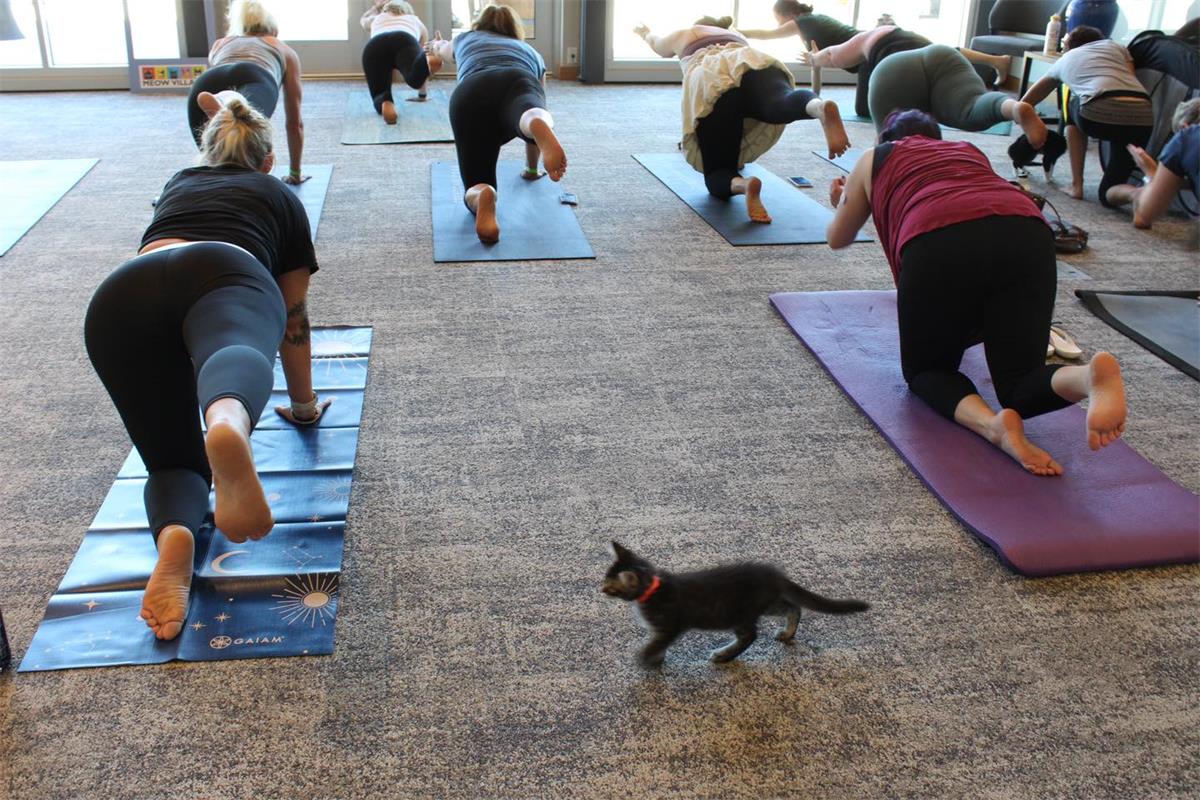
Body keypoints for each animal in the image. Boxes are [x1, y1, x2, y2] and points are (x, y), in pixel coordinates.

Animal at [604, 542, 868, 666]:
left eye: (611, 586)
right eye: (604, 577)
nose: (601, 589)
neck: (652, 588)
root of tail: (774, 575)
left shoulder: (670, 626)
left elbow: (654, 645)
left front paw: (645, 661)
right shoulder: (661, 630)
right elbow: (658, 645)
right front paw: (656, 659)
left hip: (737, 613)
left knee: (750, 635)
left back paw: (724, 655)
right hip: (766, 604)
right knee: (794, 607)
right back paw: (787, 633)